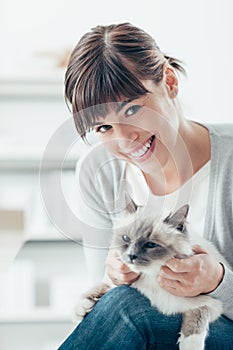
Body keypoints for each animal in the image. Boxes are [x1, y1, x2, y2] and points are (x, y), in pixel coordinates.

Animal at [74, 205, 228, 350]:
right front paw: (81, 310)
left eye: (151, 245)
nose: (131, 256)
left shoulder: (209, 303)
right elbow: (100, 288)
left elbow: (196, 322)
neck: (150, 276)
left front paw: (189, 345)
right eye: (126, 239)